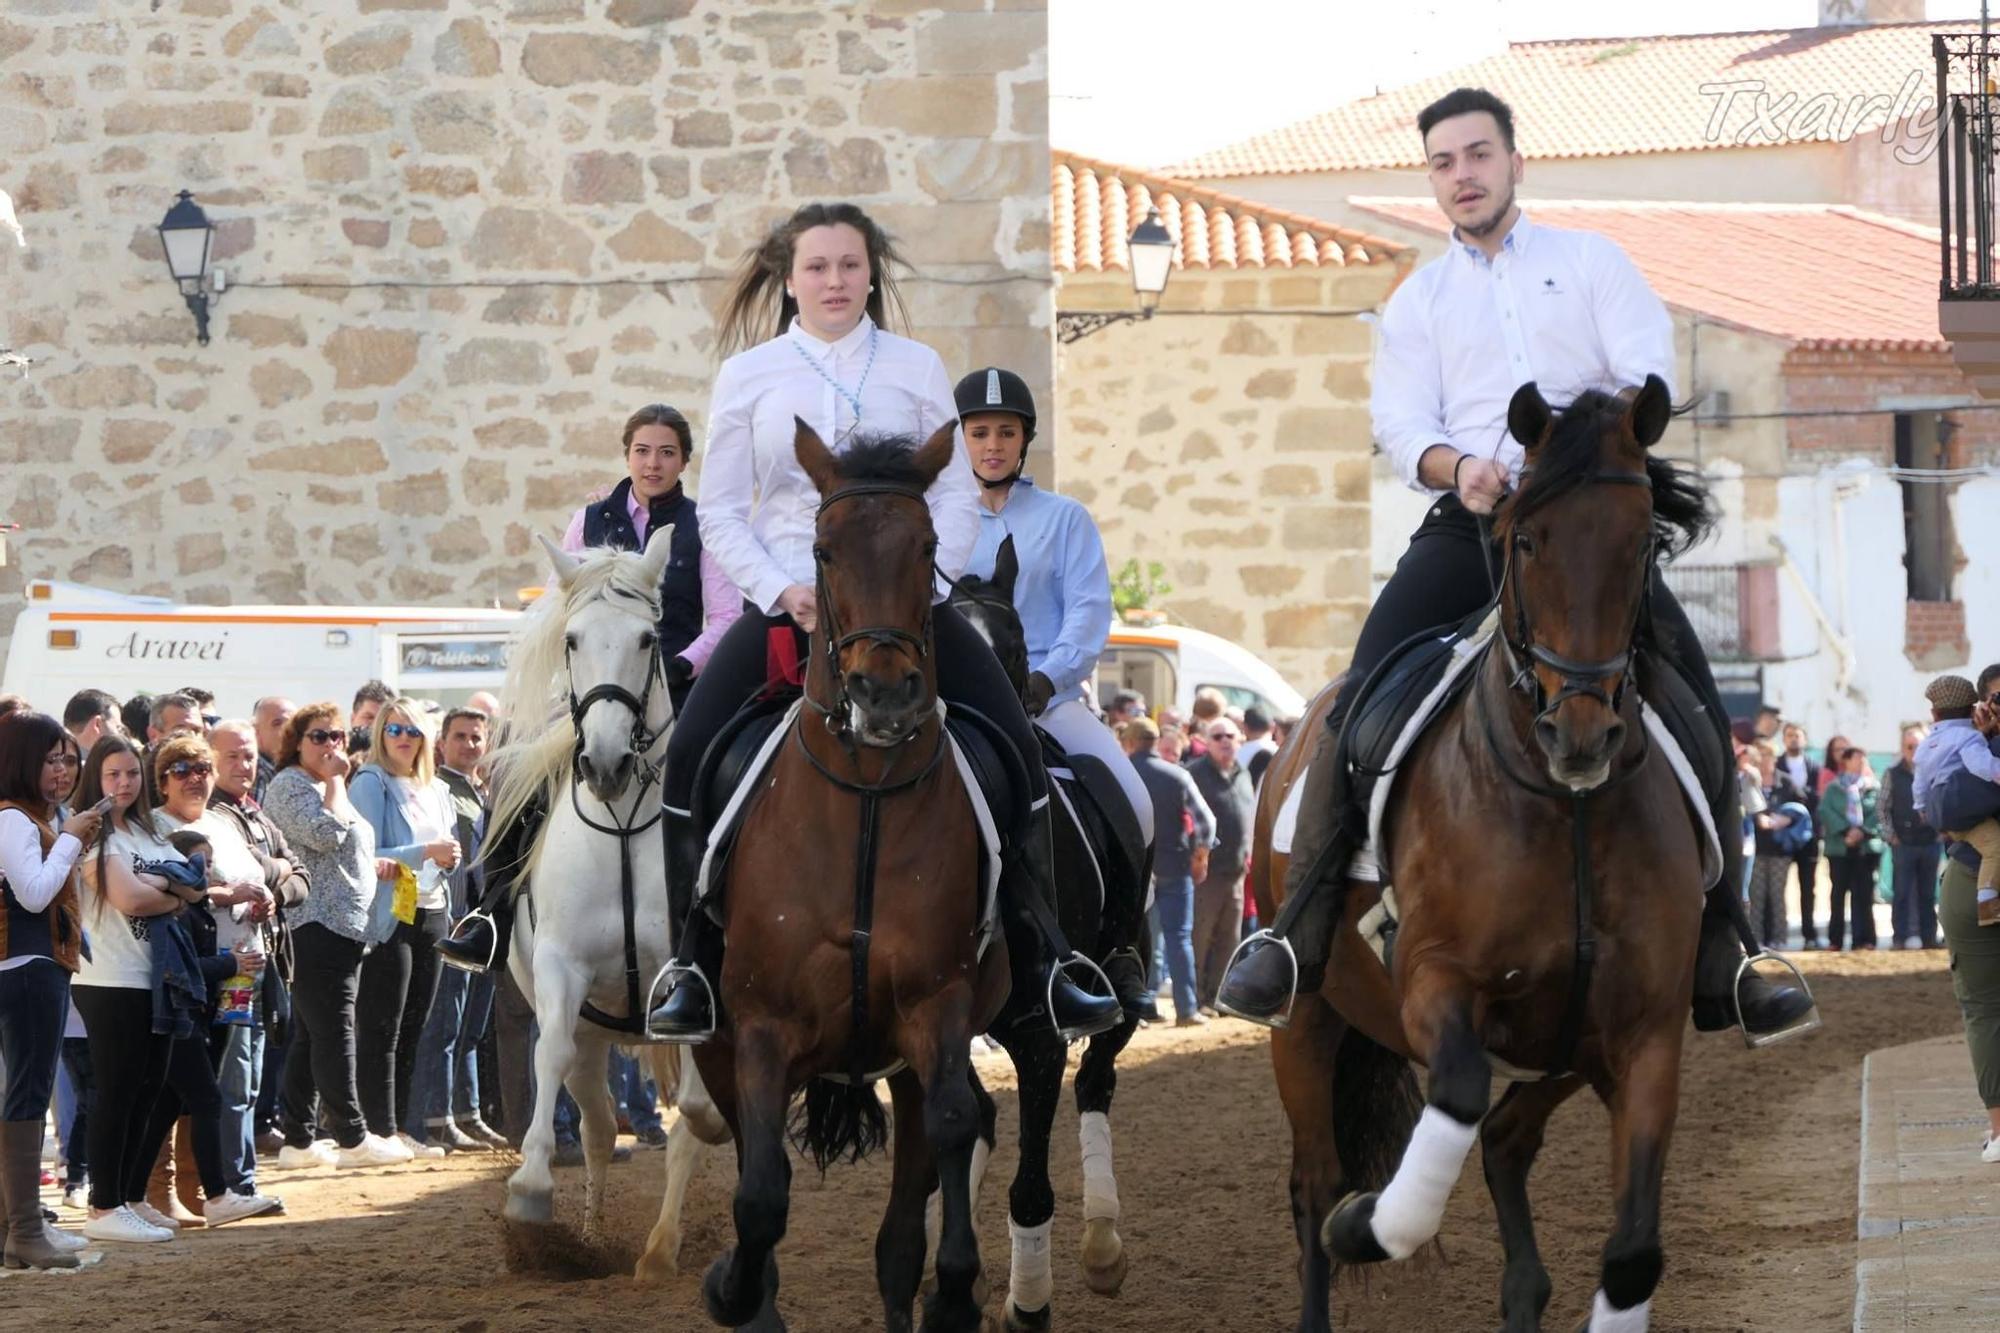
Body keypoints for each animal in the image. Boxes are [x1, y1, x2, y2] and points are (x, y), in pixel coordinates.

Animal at [484, 528, 728, 1280]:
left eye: (649, 638)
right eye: (572, 639)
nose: (606, 762)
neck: (623, 824)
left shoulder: (693, 977)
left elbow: (698, 1112)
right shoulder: (562, 968)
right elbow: (549, 1054)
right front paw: (530, 1193)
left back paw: (660, 1247)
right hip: (598, 1038)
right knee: (594, 1124)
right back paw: (590, 1237)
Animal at [692, 418, 1016, 1328]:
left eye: (929, 545)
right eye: (823, 549)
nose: (885, 694)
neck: (866, 799)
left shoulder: (936, 1009)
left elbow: (954, 1123)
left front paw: (958, 1290)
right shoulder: (759, 1029)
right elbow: (760, 1195)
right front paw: (731, 1286)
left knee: (900, 1233)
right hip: (718, 1044)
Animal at [948, 536, 1152, 1320]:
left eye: (1012, 649)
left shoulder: (1041, 1035)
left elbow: (1031, 1189)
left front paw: (1028, 1304)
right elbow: (969, 1123)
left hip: (1126, 976)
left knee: (1098, 1083)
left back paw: (1102, 1245)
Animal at [1256, 376, 1712, 1328]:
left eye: (1642, 543)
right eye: (1527, 538)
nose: (1582, 734)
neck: (1564, 813)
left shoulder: (1644, 1034)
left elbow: (1632, 1253)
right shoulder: (1436, 982)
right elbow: (1457, 1092)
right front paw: (1372, 1225)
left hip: (1566, 1045)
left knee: (1505, 1137)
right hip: (1307, 1019)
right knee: (1314, 1187)